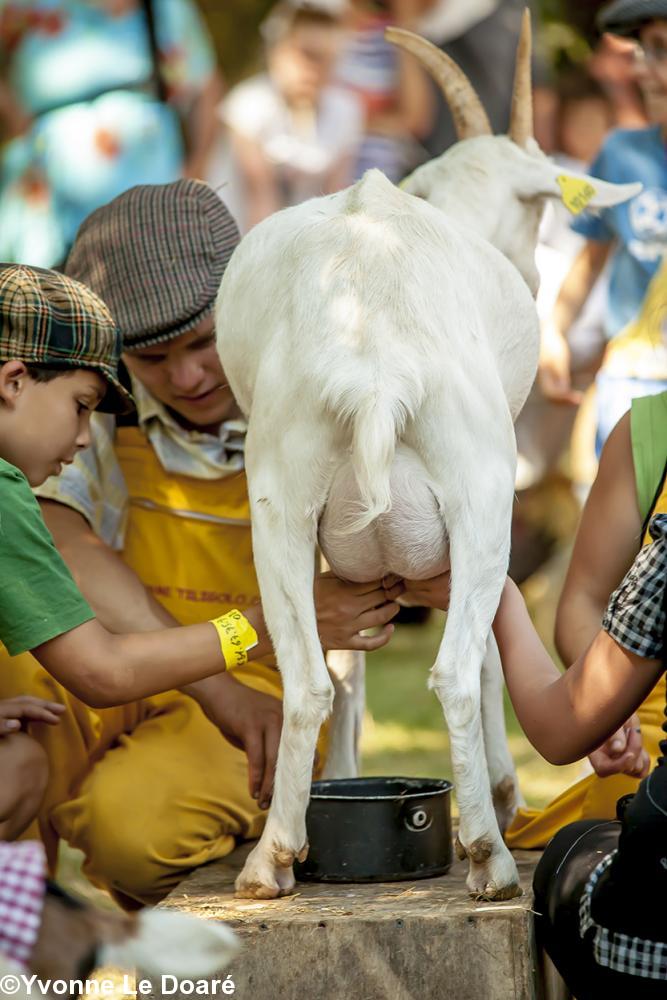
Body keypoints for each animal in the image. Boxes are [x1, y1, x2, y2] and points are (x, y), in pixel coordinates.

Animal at [215, 13, 640, 908]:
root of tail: (373, 361)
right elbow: (486, 660)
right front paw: (506, 792)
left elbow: (347, 665)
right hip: (482, 497)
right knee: (452, 670)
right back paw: (487, 855)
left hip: (280, 498)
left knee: (309, 679)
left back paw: (272, 862)